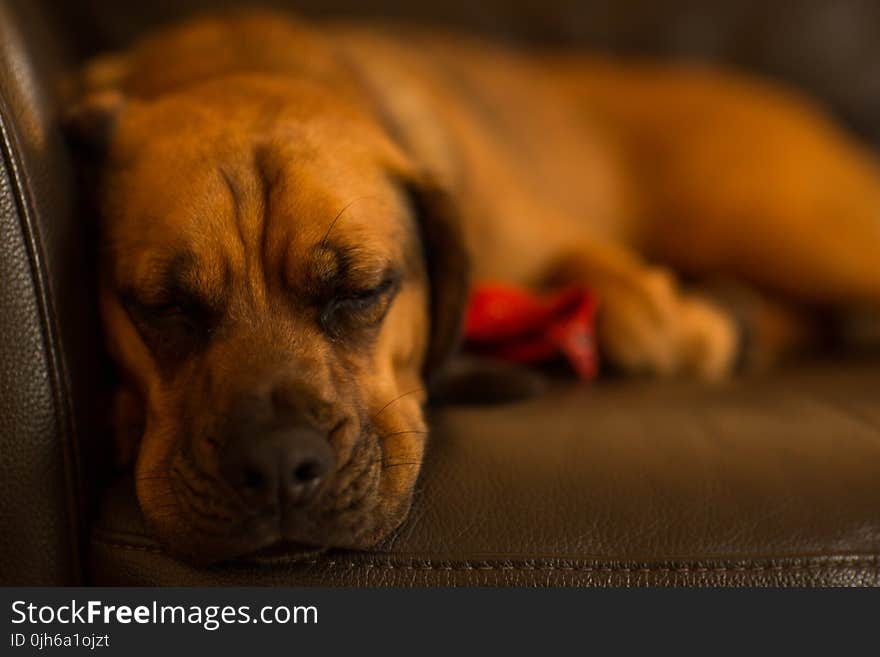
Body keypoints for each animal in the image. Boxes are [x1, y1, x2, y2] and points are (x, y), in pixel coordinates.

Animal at [67, 11, 880, 564]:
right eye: (163, 307)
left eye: (362, 290)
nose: (276, 467)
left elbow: (635, 309)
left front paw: (690, 325)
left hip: (777, 222)